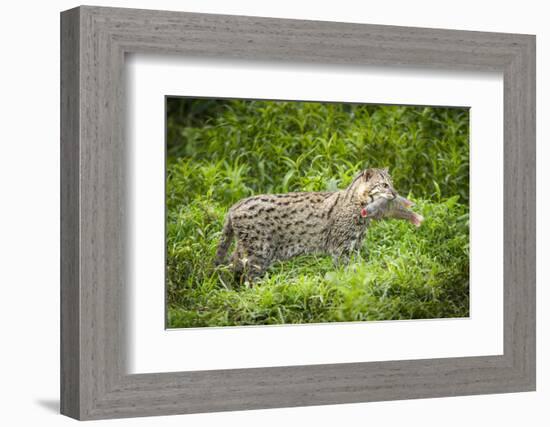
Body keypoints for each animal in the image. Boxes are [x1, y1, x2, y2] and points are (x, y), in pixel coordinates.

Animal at [216, 169, 422, 282]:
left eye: (391, 183)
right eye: (384, 185)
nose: (395, 194)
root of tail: (236, 204)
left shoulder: (355, 247)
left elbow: (357, 269)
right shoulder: (341, 248)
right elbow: (343, 271)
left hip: (247, 250)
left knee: (230, 265)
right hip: (260, 251)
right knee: (248, 278)